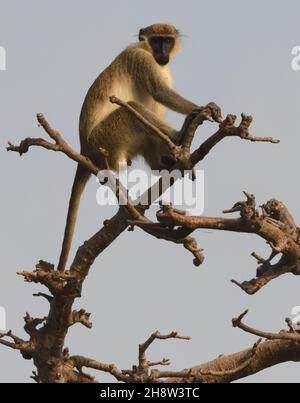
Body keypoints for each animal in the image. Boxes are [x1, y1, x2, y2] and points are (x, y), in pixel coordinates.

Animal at [58, 22, 223, 272]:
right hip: (106, 137)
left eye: (168, 41)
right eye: (157, 41)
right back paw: (179, 135)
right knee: (132, 109)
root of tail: (85, 149)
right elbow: (159, 92)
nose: (162, 53)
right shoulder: (139, 59)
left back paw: (166, 163)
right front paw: (202, 108)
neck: (149, 54)